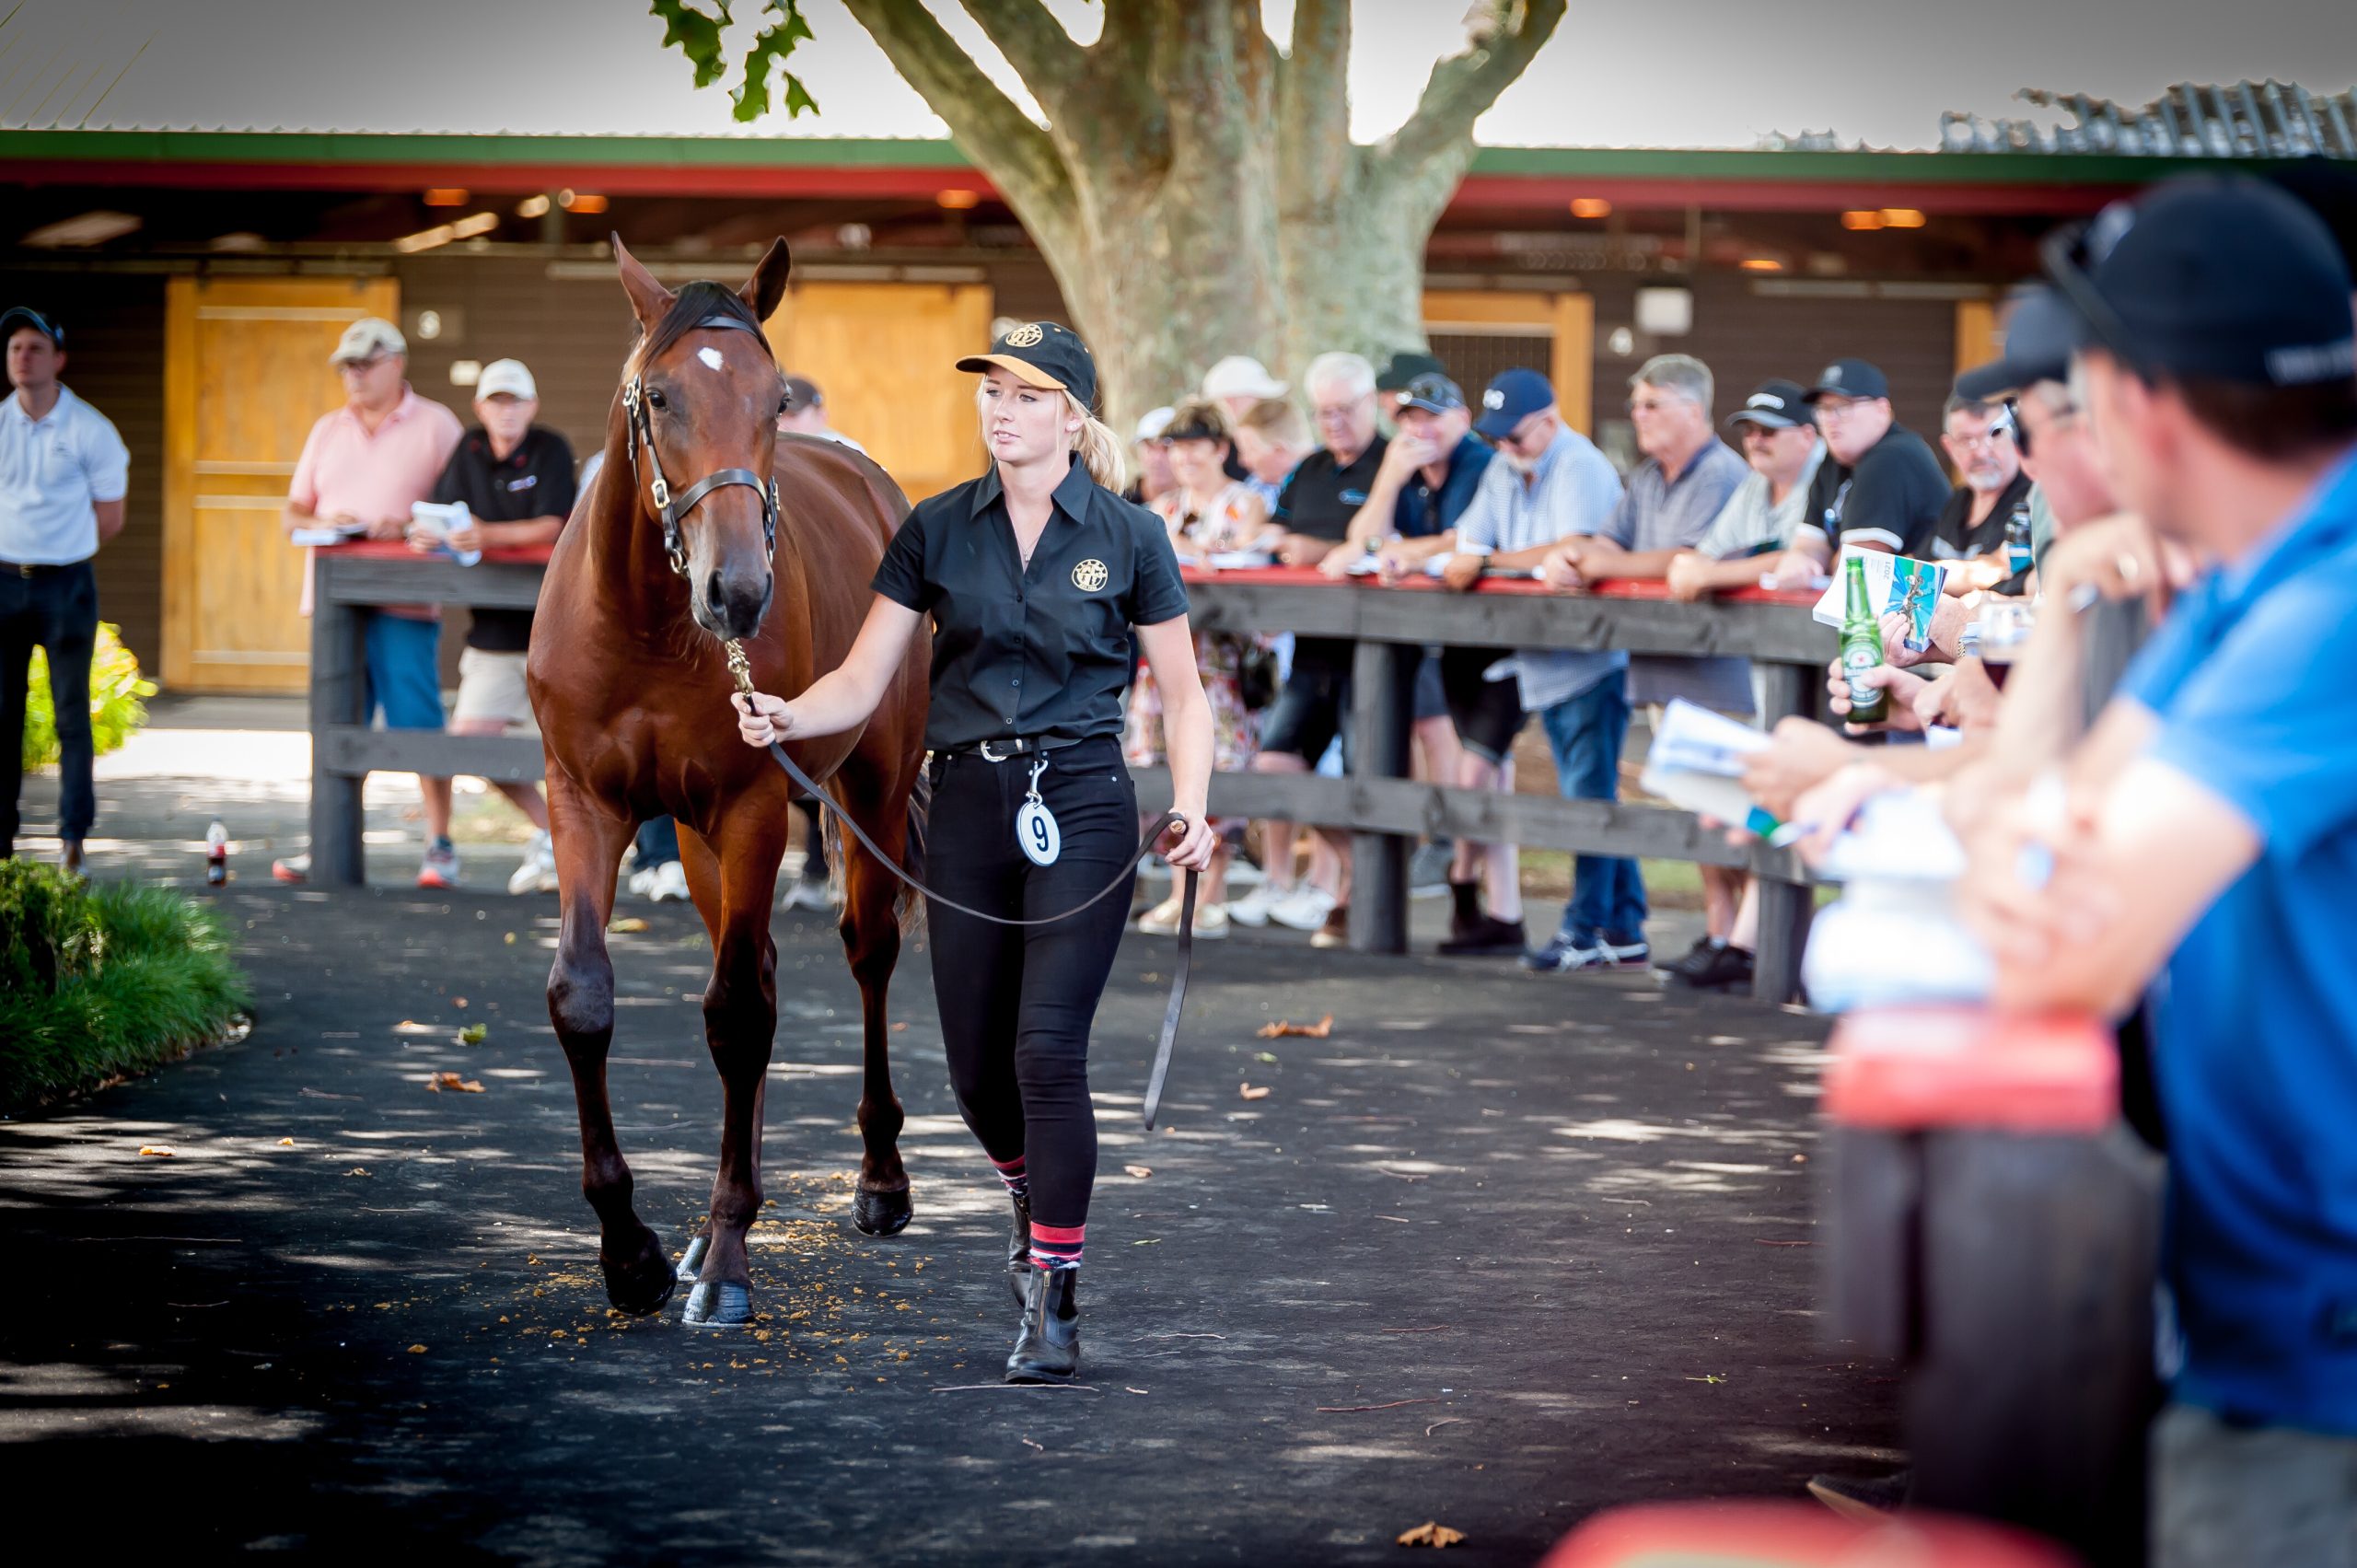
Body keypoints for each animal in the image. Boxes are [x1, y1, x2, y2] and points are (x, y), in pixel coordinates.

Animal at [528, 241, 928, 1320]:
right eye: (660, 396)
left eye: (773, 397)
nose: (738, 590)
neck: (644, 622)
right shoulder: (584, 801)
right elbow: (585, 996)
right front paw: (632, 1250)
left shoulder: (751, 806)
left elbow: (738, 1014)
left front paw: (731, 1259)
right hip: (700, 837)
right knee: (755, 972)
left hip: (869, 789)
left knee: (862, 952)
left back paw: (875, 1182)